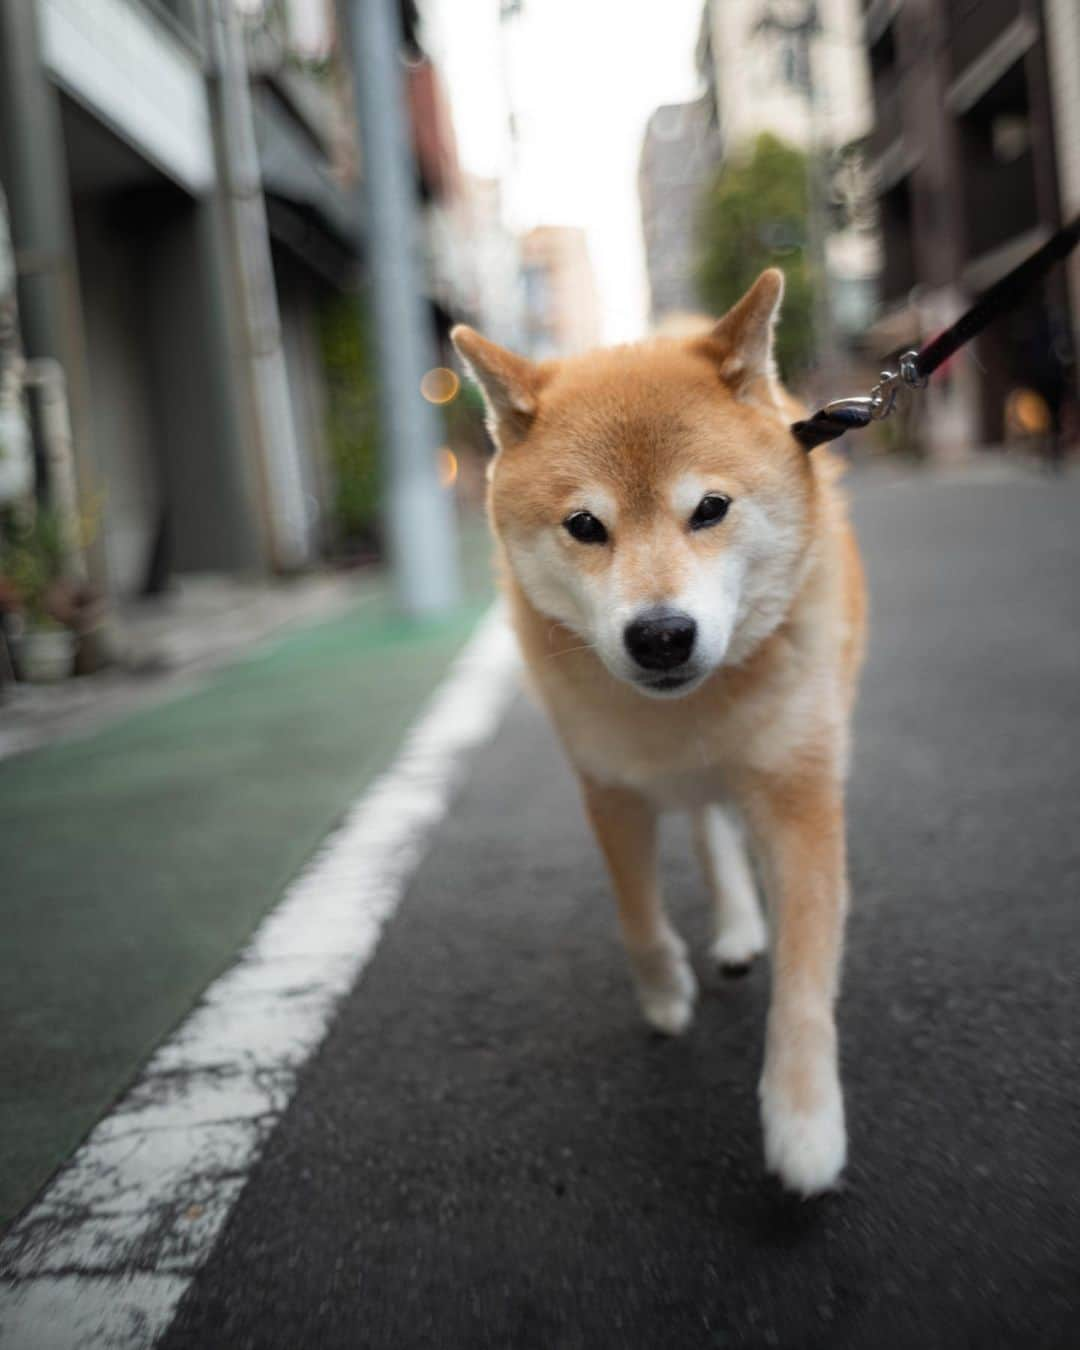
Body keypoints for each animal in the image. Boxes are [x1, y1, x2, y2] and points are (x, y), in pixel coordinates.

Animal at [453, 271, 869, 1193]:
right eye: (584, 526)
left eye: (710, 509)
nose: (663, 636)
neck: (689, 709)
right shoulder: (609, 788)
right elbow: (637, 915)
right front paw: (665, 996)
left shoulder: (798, 793)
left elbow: (805, 981)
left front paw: (804, 1123)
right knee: (707, 825)